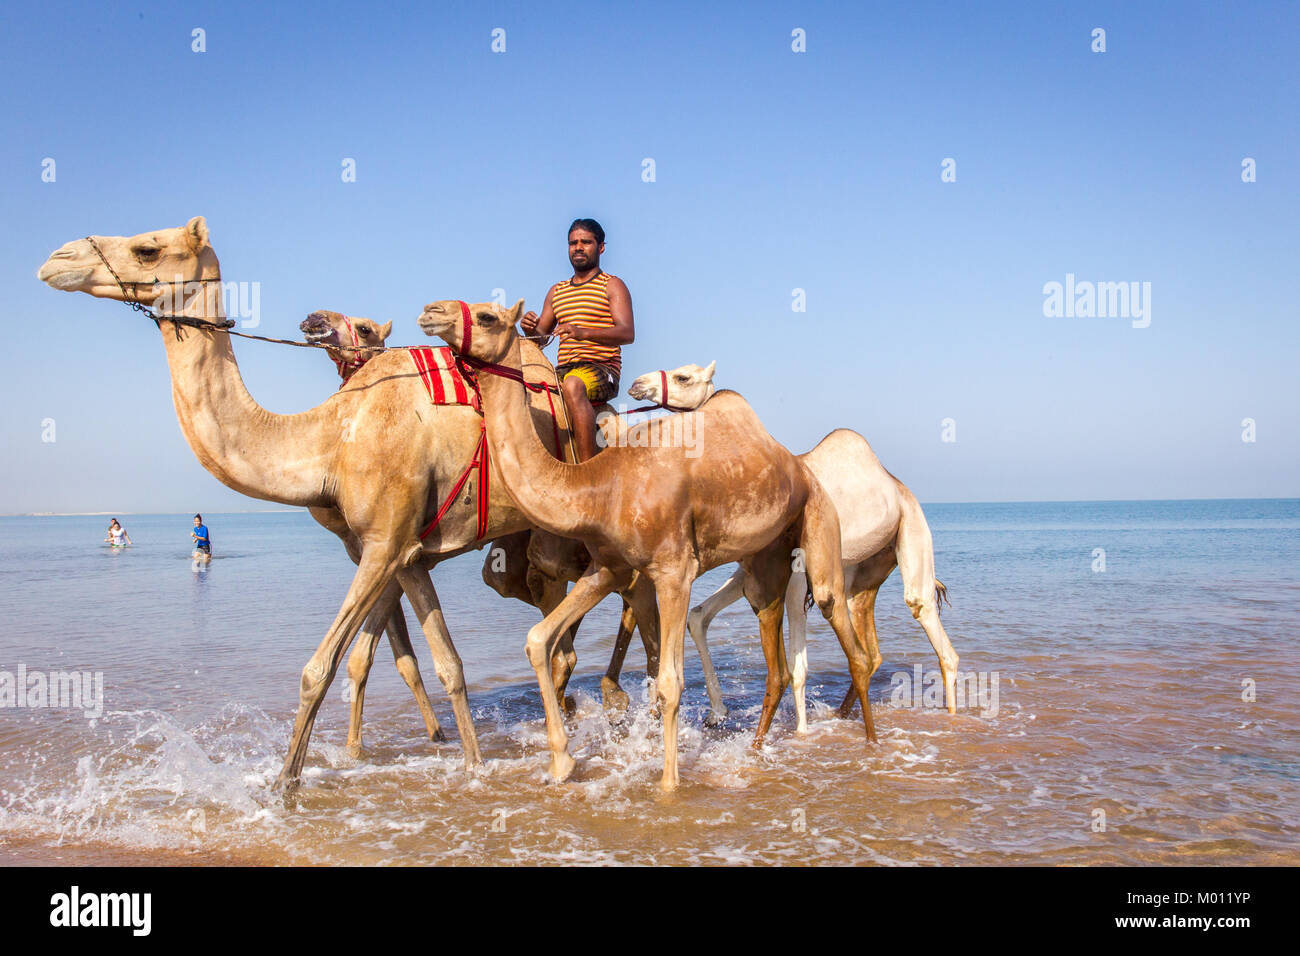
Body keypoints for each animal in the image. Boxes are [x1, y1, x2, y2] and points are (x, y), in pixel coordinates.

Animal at [36, 218, 579, 790]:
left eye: (147, 249)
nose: (57, 259)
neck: (333, 438)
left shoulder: (384, 544)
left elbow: (320, 668)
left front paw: (285, 786)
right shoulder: (402, 549)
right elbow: (440, 663)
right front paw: (470, 765)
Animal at [421, 300, 878, 790]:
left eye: (487, 316)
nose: (431, 311)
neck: (600, 486)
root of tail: (796, 464)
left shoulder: (674, 572)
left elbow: (668, 681)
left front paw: (668, 785)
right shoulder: (608, 569)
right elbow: (538, 639)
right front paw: (562, 762)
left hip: (819, 519)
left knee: (846, 634)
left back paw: (870, 742)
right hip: (765, 558)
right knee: (774, 649)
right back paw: (759, 748)